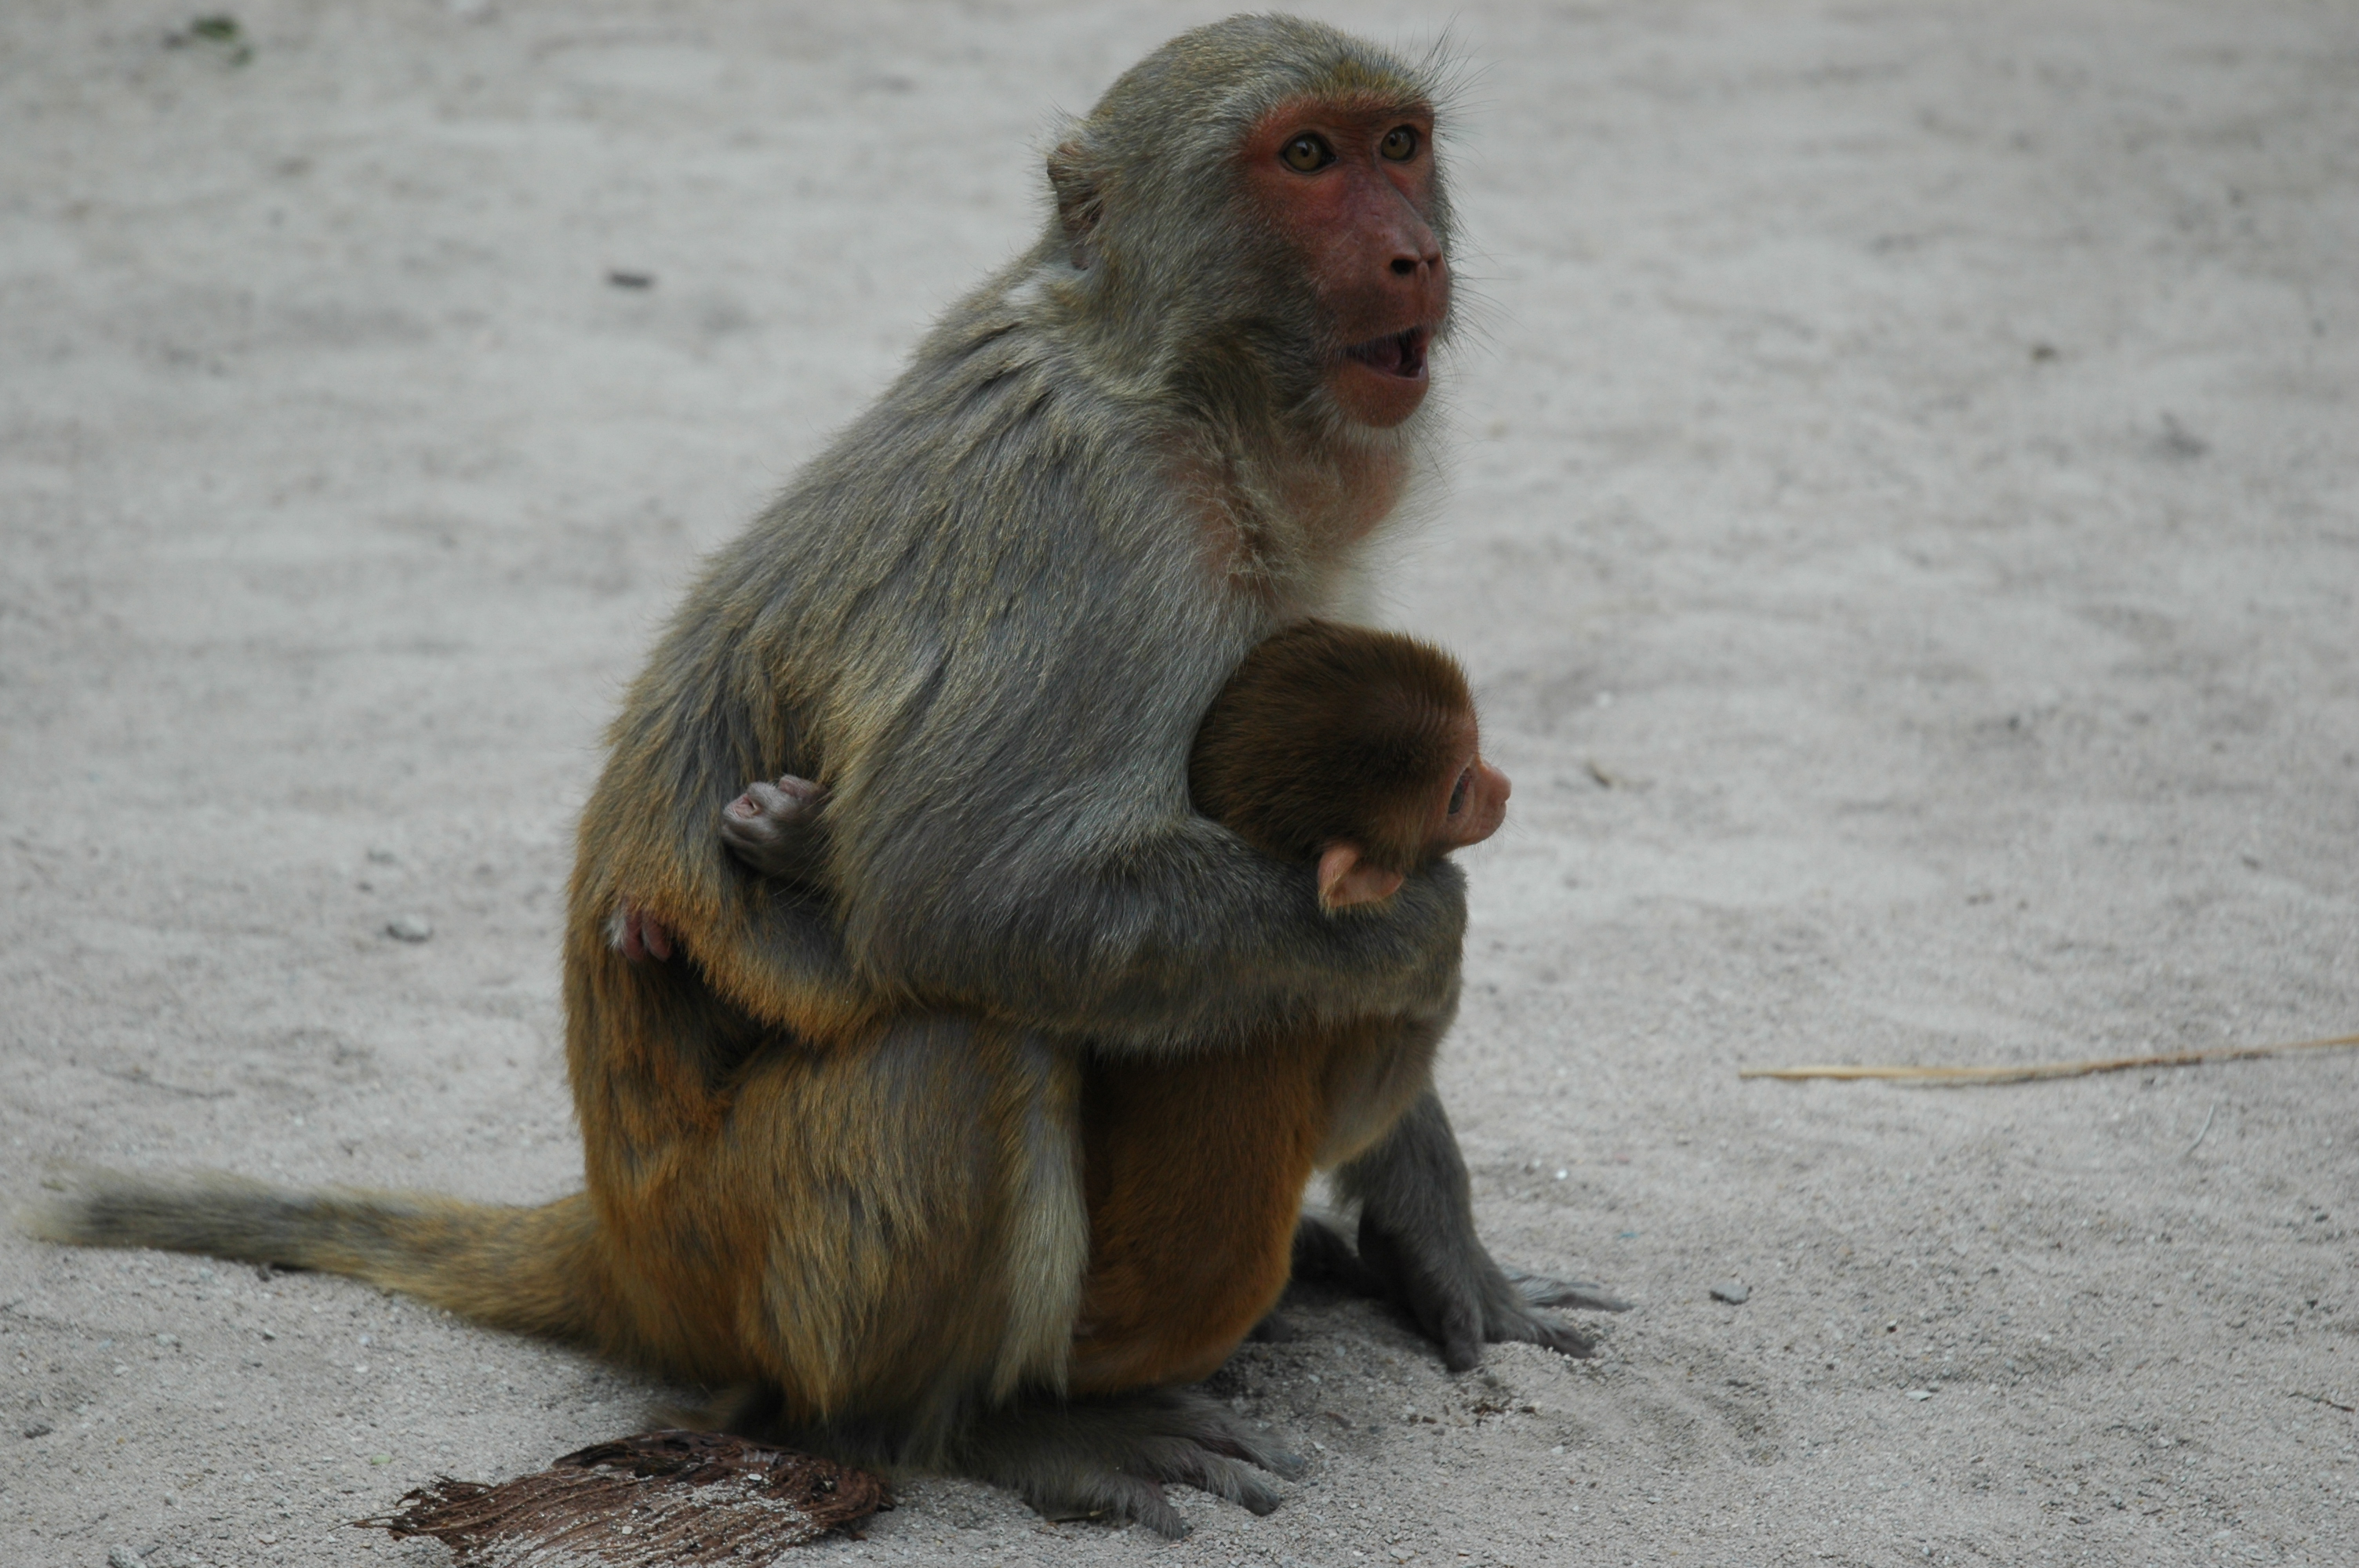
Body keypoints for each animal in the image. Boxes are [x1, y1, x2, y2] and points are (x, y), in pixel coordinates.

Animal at [31, 18, 1618, 1538]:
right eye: (1304, 159)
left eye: (1398, 146)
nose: (1413, 250)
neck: (1178, 385)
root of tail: (619, 1237)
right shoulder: (1107, 525)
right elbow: (966, 894)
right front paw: (1425, 931)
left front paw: (1442, 1247)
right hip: (735, 1253)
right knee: (959, 1047)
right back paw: (979, 1426)